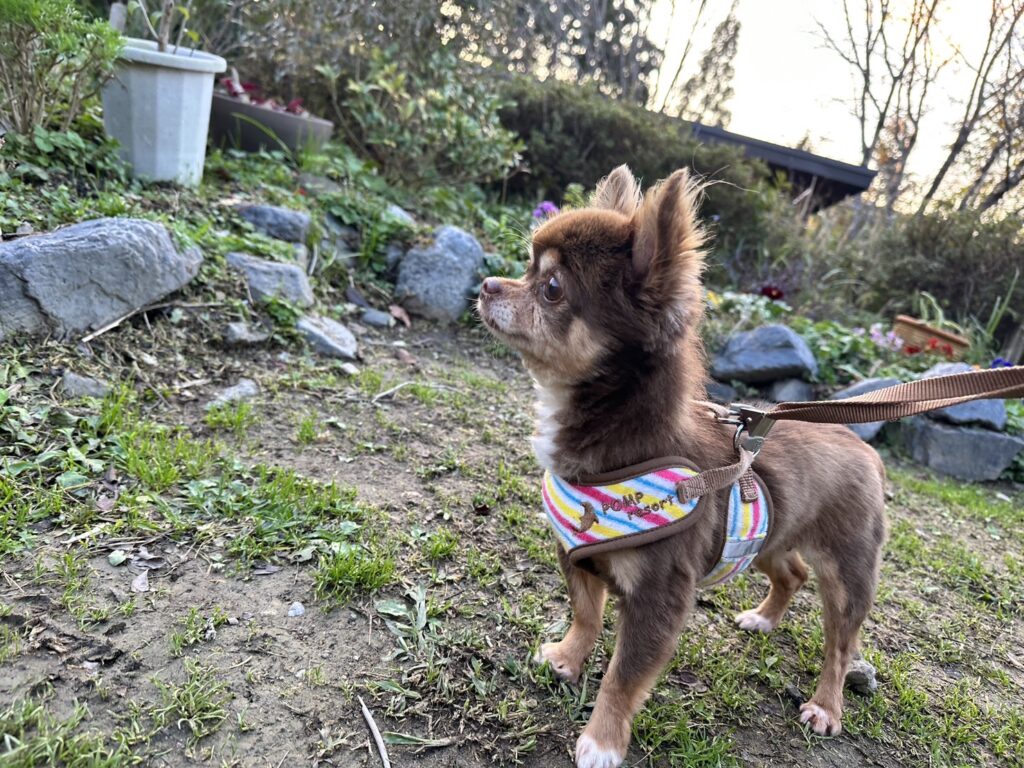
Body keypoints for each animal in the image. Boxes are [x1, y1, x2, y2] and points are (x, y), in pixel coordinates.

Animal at [477, 166, 887, 768]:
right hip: (768, 538)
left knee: (840, 643)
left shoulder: (659, 599)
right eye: (526, 266)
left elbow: (623, 677)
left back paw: (826, 707)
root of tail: (864, 447)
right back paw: (764, 617)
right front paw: (567, 659)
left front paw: (602, 740)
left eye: (551, 288)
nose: (487, 284)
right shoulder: (577, 556)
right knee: (791, 572)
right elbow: (586, 615)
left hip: (847, 573)